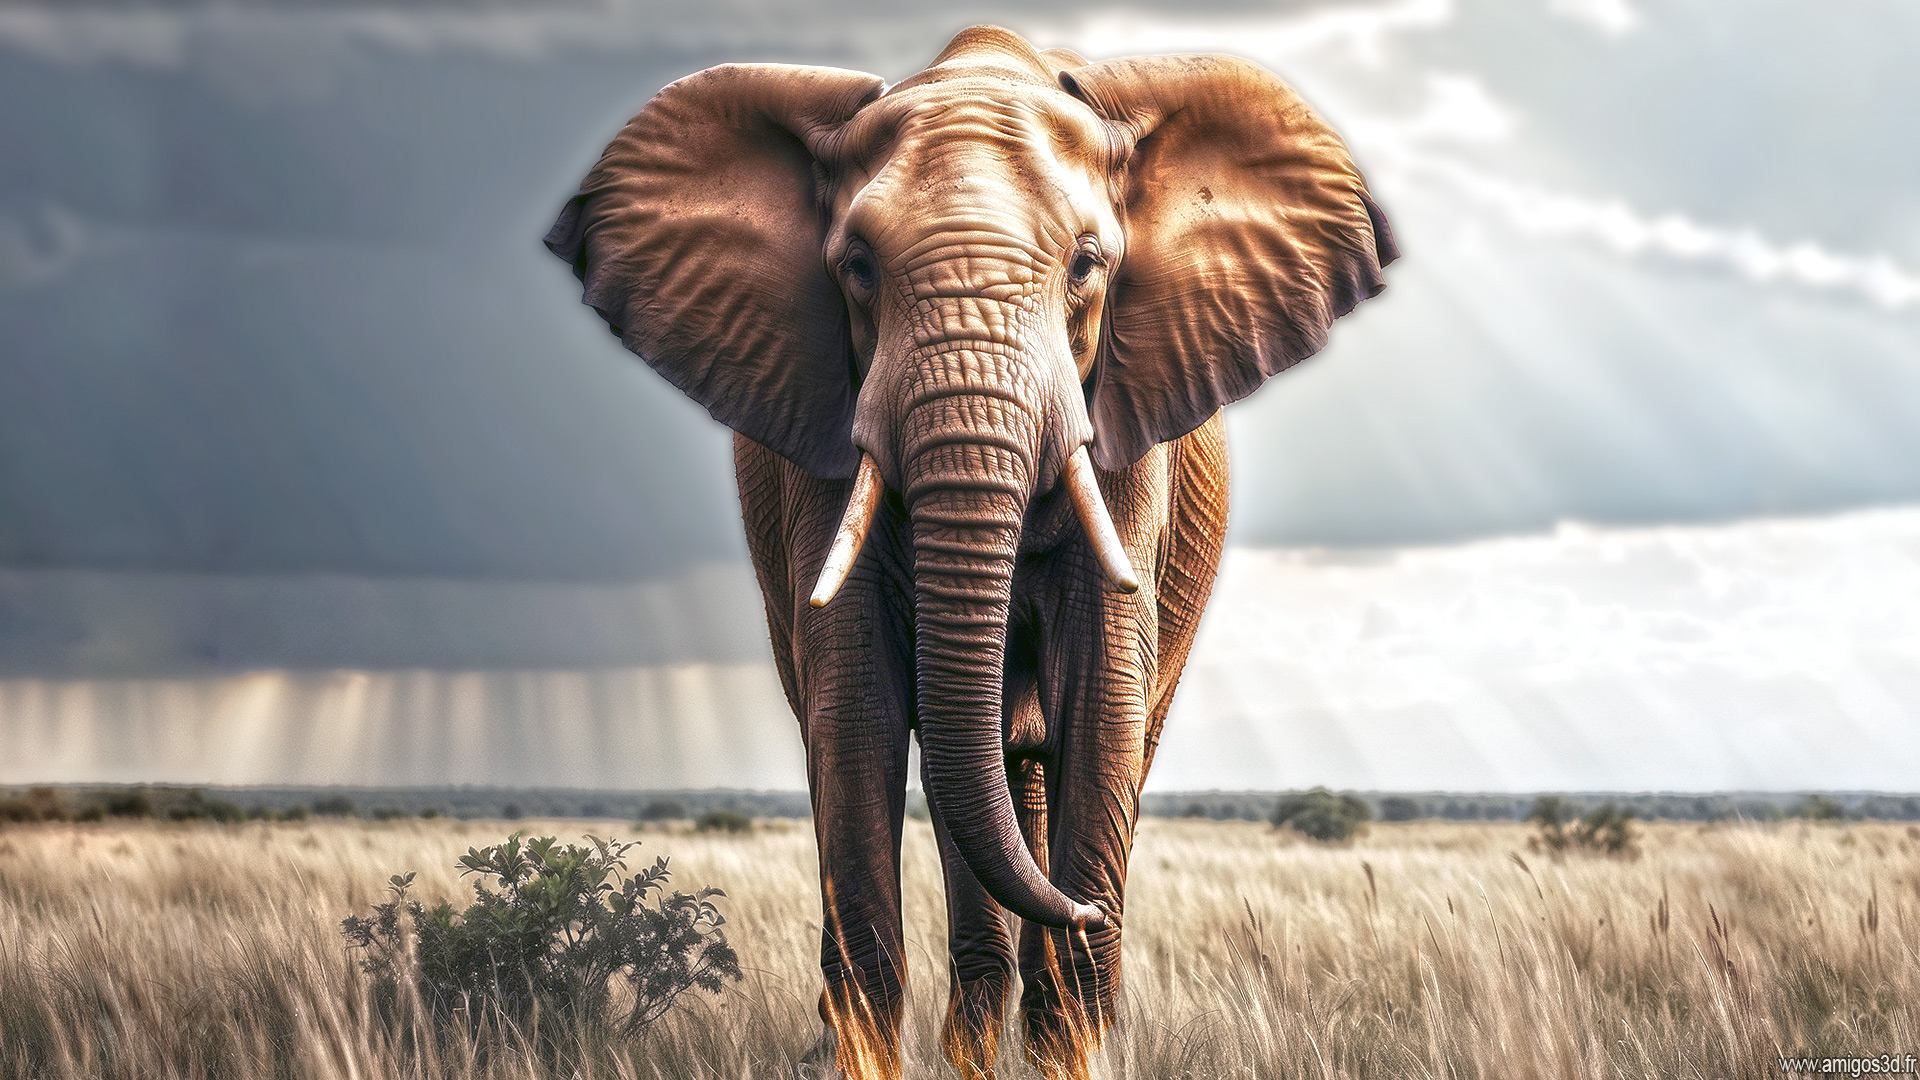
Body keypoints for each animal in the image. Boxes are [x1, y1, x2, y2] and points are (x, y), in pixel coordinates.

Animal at [545, 25, 1393, 1079]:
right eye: (857, 267)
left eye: (1087, 265)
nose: (1083, 906)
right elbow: (856, 707)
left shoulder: (1127, 442)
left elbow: (1101, 701)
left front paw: (1076, 1020)